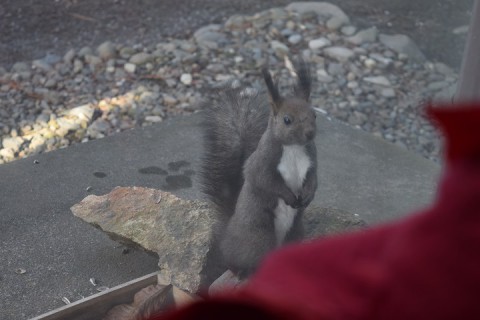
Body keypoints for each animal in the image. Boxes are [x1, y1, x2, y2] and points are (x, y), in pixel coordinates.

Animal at [201, 60, 316, 278]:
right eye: (287, 120)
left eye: (314, 114)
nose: (310, 134)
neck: (293, 149)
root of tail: (227, 233)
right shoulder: (262, 163)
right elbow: (266, 181)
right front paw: (289, 197)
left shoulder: (311, 163)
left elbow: (314, 182)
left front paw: (307, 197)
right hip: (259, 238)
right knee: (240, 259)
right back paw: (243, 271)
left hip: (295, 233)